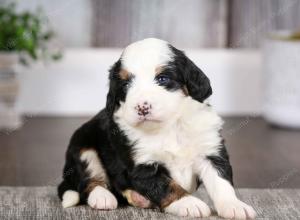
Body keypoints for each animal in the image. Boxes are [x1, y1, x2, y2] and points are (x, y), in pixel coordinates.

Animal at [58, 37, 255, 218]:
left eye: (162, 78)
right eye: (126, 84)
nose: (142, 107)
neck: (170, 126)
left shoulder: (210, 151)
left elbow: (221, 183)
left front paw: (234, 206)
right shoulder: (142, 167)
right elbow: (167, 186)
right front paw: (189, 203)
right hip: (83, 148)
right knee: (88, 182)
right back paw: (103, 198)